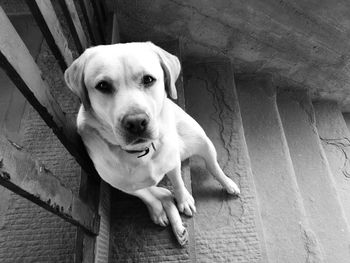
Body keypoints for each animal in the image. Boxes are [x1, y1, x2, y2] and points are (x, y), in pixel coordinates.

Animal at [64, 42, 241, 246]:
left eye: (148, 79)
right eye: (103, 86)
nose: (136, 122)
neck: (141, 151)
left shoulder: (172, 163)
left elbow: (178, 184)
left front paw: (184, 200)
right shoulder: (122, 185)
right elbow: (146, 195)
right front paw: (157, 209)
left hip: (202, 141)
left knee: (213, 166)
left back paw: (228, 184)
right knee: (163, 194)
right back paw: (169, 220)